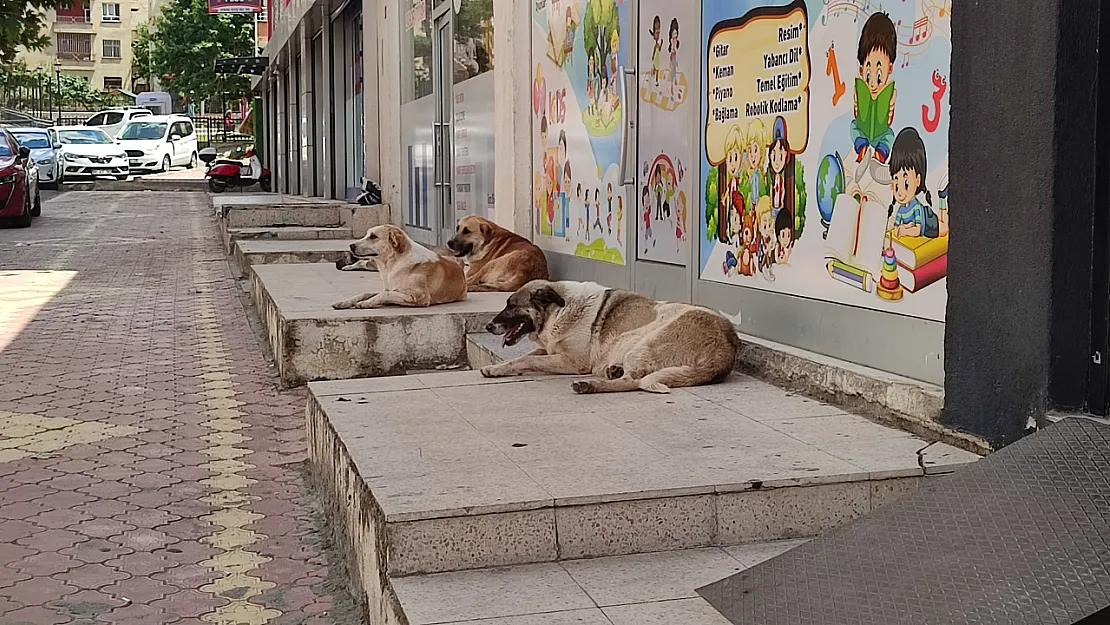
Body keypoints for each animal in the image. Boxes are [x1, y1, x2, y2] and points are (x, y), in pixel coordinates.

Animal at [330, 226, 466, 310]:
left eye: (373, 236)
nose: (351, 245)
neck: (393, 264)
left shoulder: (420, 297)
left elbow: (385, 294)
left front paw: (366, 303)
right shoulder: (389, 288)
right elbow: (366, 293)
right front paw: (344, 302)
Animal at [481, 280, 741, 392]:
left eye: (511, 305)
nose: (488, 326)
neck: (559, 309)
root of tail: (725, 348)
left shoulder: (572, 362)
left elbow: (529, 359)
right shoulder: (550, 349)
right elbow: (521, 358)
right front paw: (495, 369)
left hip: (644, 346)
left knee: (635, 382)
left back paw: (590, 385)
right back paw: (611, 371)